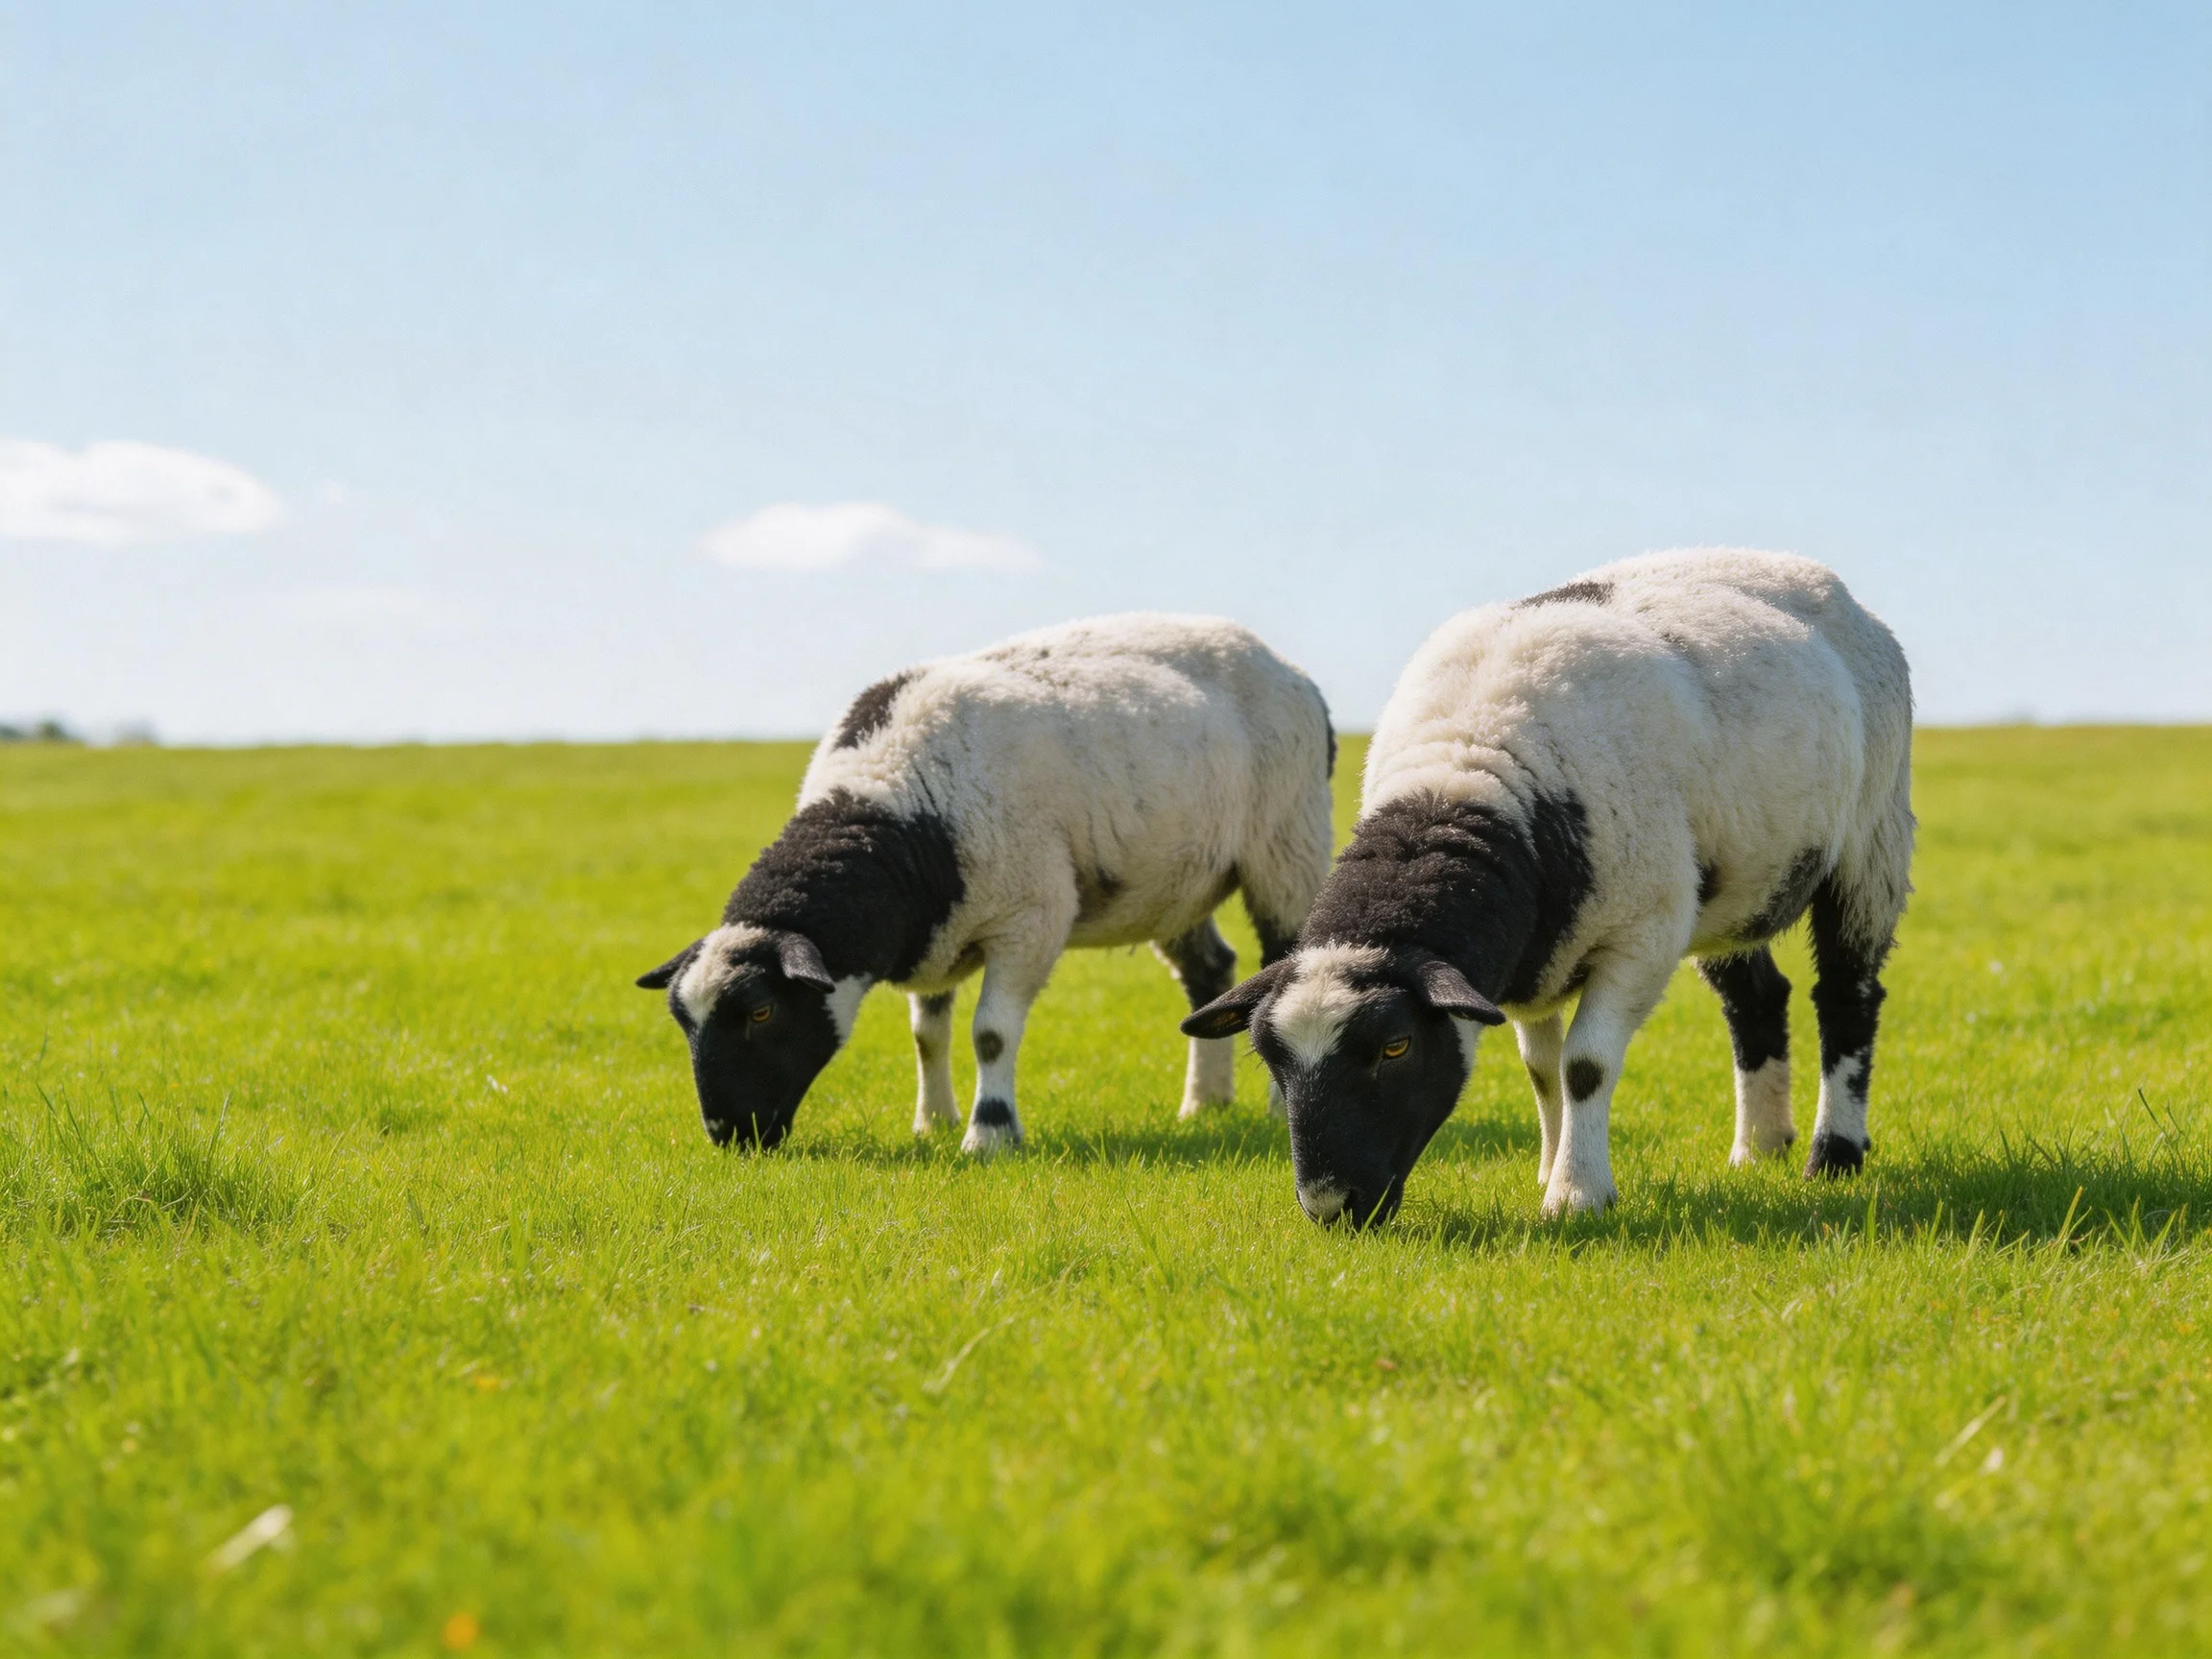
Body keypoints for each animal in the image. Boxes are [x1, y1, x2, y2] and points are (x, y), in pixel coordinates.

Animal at [637, 613, 1335, 1153]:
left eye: (761, 1010)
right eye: (680, 1019)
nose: (727, 1134)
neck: (898, 813)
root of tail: (1293, 673)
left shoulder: (1030, 916)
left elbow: (991, 1033)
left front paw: (989, 1136)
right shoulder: (937, 932)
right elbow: (927, 1035)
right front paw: (933, 1122)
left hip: (1288, 842)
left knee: (1279, 963)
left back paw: (1276, 1109)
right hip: (1175, 879)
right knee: (1210, 972)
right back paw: (1204, 1104)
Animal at [1183, 549, 1914, 1225]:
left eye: (1396, 1046)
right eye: (1269, 1059)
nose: (1332, 1207)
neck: (1466, 771)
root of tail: (1811, 575)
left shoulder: (1641, 935)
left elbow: (1583, 1065)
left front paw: (1577, 1194)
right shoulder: (1533, 956)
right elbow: (1542, 1069)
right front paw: (1552, 1167)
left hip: (1872, 837)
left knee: (1847, 997)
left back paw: (1834, 1155)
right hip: (1732, 883)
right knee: (1757, 1000)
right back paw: (1759, 1148)